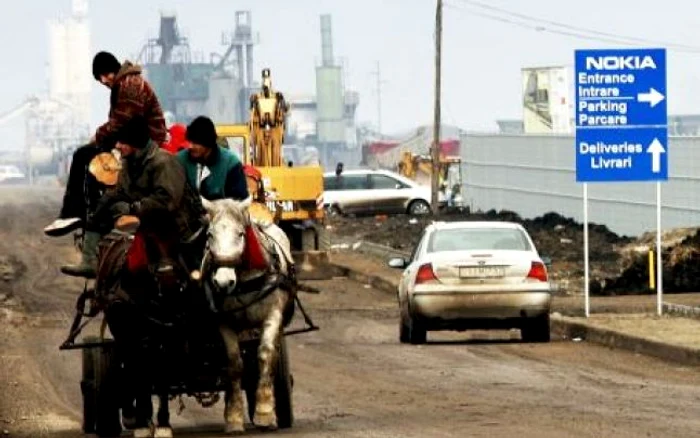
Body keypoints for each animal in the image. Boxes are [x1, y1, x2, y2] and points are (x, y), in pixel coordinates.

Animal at [198, 198, 294, 434]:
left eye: (241, 233)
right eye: (209, 234)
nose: (223, 282)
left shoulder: (272, 314)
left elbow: (266, 355)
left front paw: (265, 413)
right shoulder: (224, 322)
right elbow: (234, 363)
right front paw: (233, 416)